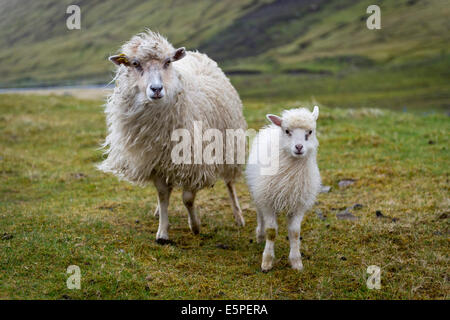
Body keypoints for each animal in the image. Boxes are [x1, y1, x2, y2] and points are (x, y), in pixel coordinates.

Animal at [98, 30, 246, 244]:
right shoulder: (156, 161)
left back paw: (238, 216)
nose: (156, 89)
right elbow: (163, 195)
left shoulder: (194, 160)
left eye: (167, 62)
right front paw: (162, 232)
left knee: (229, 183)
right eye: (135, 63)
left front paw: (195, 226)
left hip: (229, 145)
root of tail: (195, 53)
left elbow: (188, 198)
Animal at [246, 106, 320, 272]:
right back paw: (260, 235)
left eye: (310, 131)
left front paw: (296, 262)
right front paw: (267, 262)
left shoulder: (298, 204)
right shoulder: (267, 201)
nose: (299, 147)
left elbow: (294, 233)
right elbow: (271, 232)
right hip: (258, 192)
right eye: (287, 131)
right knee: (260, 215)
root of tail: (271, 127)